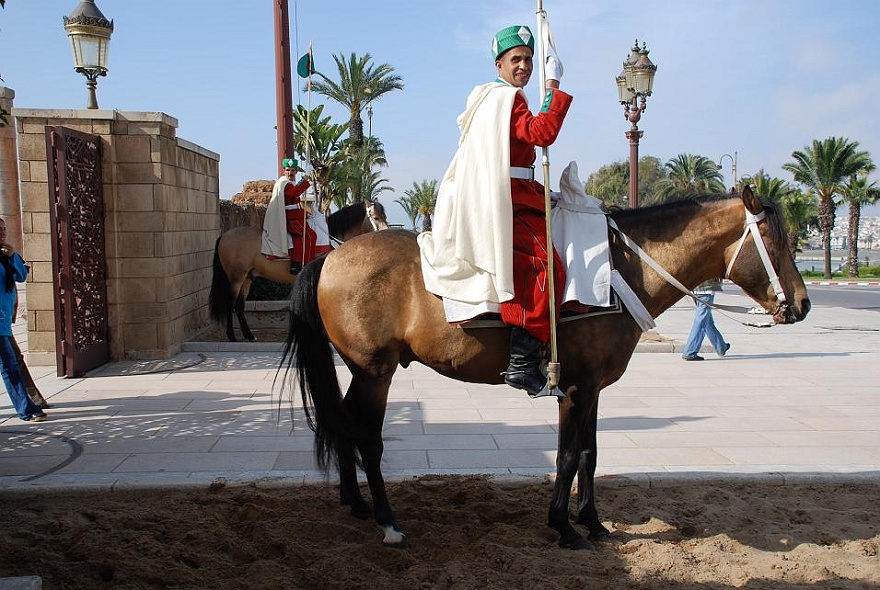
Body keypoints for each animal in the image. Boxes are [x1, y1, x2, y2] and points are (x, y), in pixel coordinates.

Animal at [210, 200, 388, 342]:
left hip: (247, 278)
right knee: (230, 304)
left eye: (384, 216)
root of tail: (224, 236)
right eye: (376, 217)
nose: (387, 232)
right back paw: (232, 336)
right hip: (236, 278)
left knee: (239, 306)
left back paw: (249, 335)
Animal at [282, 188, 812, 552]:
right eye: (773, 239)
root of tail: (331, 258)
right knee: (368, 440)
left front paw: (592, 522)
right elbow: (566, 455)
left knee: (345, 426)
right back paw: (389, 524)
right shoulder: (575, 388)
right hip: (377, 372)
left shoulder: (594, 389)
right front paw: (563, 525)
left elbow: (590, 454)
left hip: (362, 373)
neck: (618, 271)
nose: (803, 305)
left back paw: (358, 504)